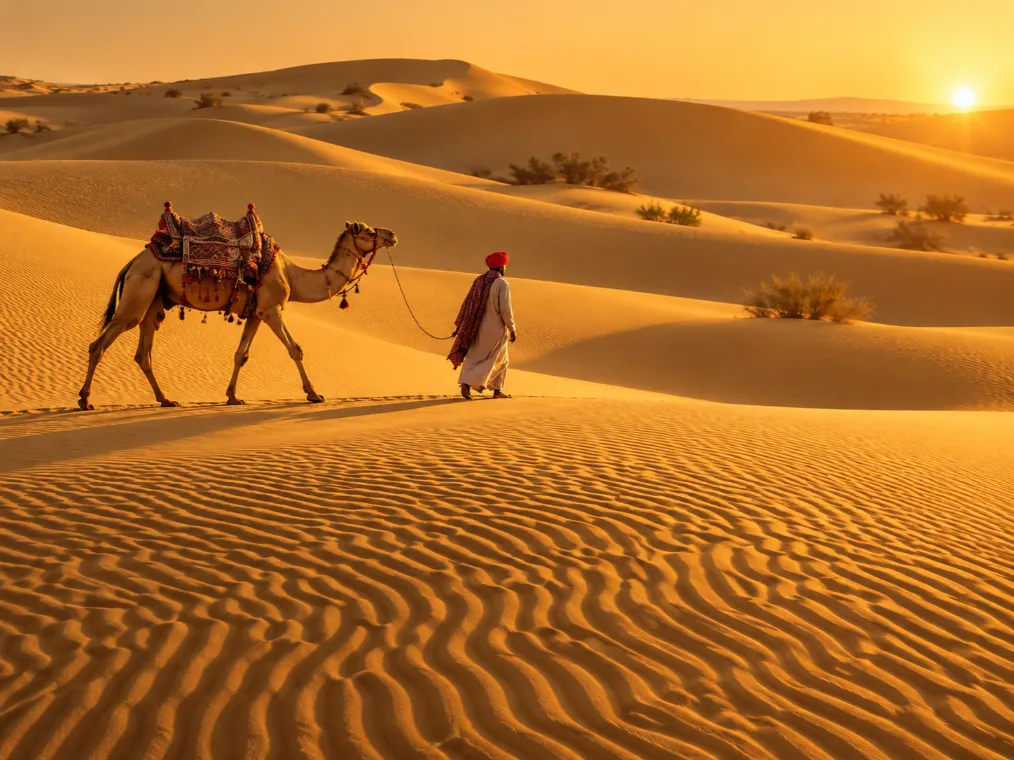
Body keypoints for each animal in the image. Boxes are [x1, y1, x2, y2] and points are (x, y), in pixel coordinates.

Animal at [78, 217, 398, 410]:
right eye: (370, 231)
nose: (392, 234)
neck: (292, 276)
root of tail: (131, 262)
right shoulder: (272, 309)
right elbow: (295, 349)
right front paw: (314, 394)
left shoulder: (256, 313)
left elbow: (240, 355)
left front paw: (233, 396)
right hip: (138, 293)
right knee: (100, 343)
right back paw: (85, 400)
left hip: (155, 298)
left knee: (143, 352)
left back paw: (166, 400)